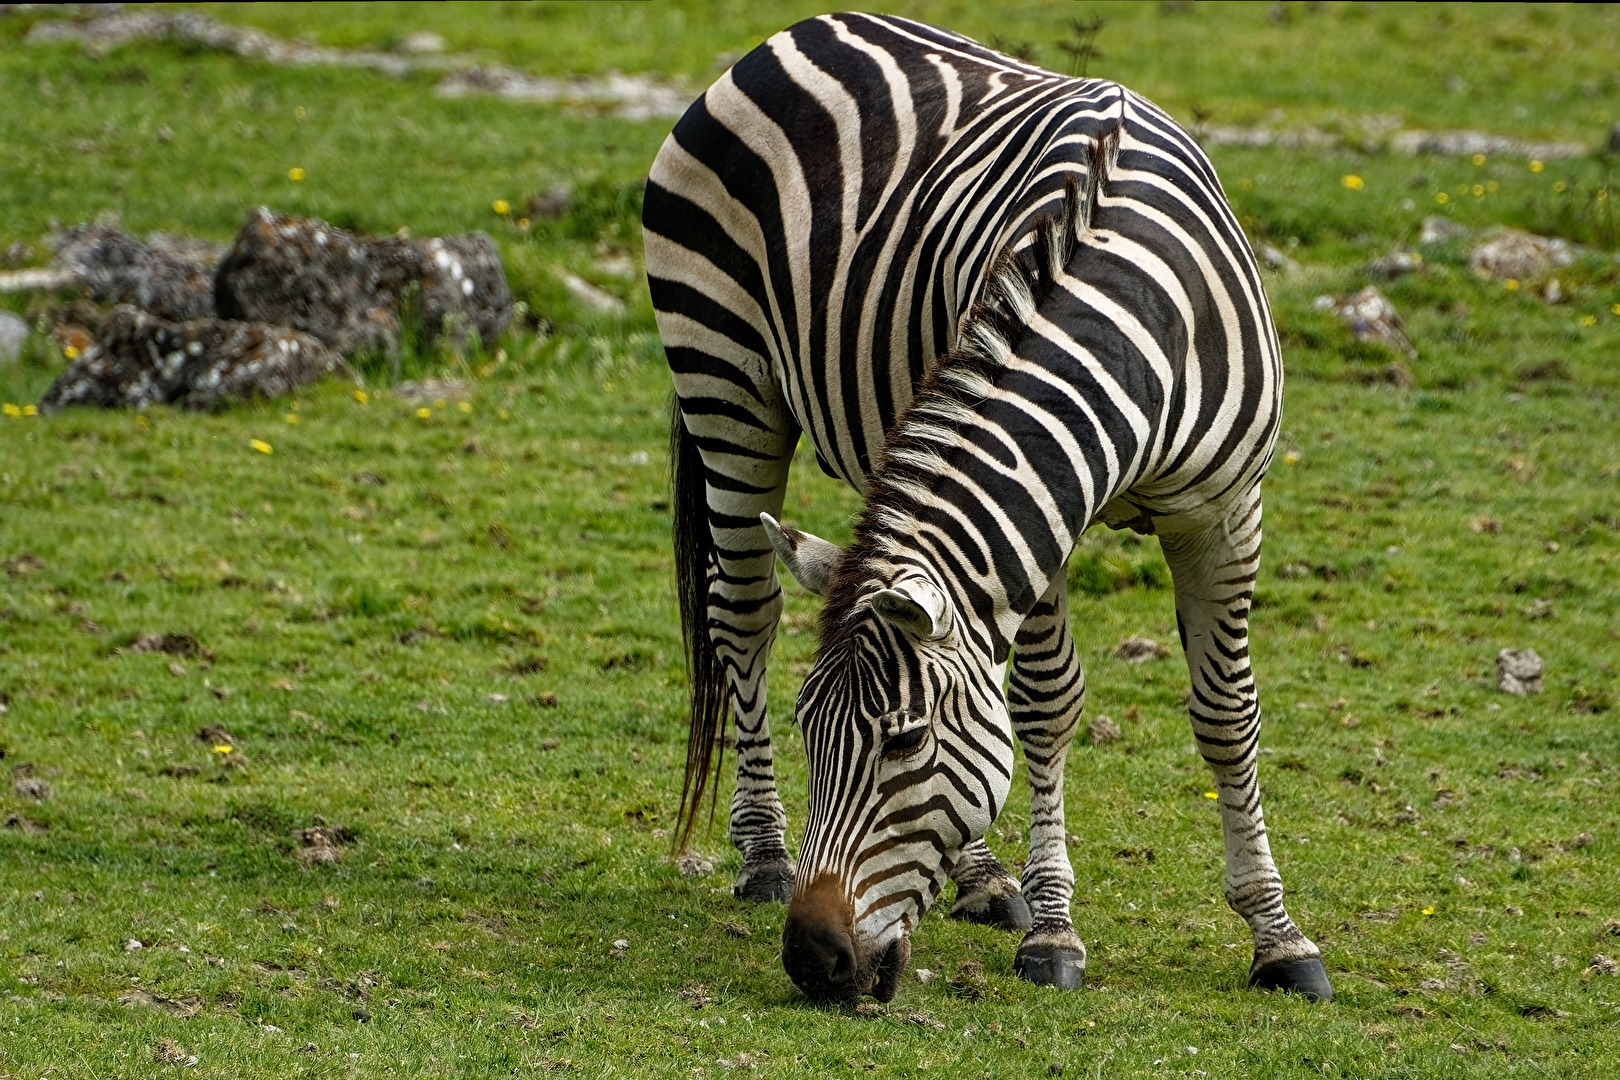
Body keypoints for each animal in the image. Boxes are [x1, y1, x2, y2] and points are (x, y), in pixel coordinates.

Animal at [643, 12, 1332, 1004]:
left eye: (904, 744)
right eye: (814, 736)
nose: (812, 962)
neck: (1132, 316)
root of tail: (798, 30)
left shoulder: (1226, 511)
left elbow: (1226, 714)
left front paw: (1278, 937)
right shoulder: (1043, 524)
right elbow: (1044, 706)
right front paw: (1055, 932)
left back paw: (978, 878)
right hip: (726, 384)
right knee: (743, 617)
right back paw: (766, 853)